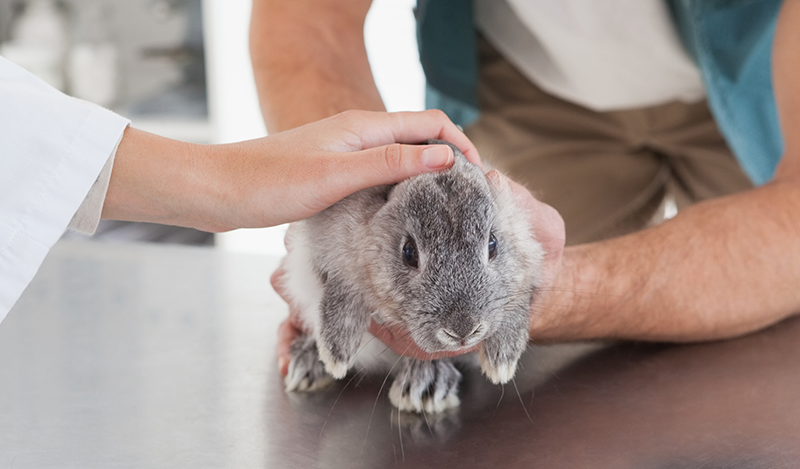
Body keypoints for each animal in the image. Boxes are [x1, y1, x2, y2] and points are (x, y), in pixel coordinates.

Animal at [276, 140, 544, 414]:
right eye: (409, 252)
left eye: (492, 244)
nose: (463, 331)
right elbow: (341, 292)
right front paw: (335, 356)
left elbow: (516, 302)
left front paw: (501, 364)